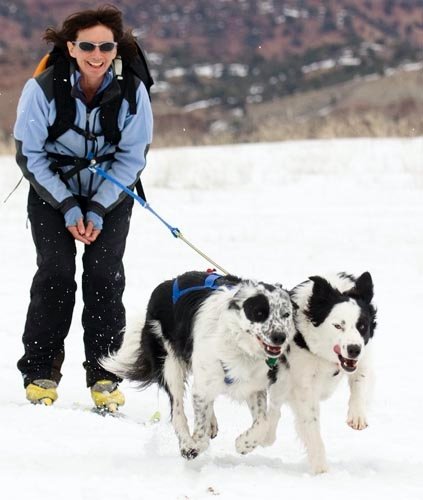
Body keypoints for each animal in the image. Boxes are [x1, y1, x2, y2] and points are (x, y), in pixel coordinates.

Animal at [102, 272, 294, 458]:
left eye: (286, 314)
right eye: (259, 313)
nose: (280, 337)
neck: (238, 343)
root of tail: (168, 282)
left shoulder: (254, 385)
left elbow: (263, 422)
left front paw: (244, 444)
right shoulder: (204, 380)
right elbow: (199, 426)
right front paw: (195, 445)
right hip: (170, 364)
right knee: (177, 410)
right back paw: (187, 442)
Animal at [264, 272, 378, 474]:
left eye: (362, 326)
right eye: (338, 326)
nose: (354, 349)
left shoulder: (363, 358)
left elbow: (360, 381)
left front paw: (357, 416)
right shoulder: (303, 385)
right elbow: (311, 426)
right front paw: (321, 469)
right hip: (282, 380)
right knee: (275, 407)